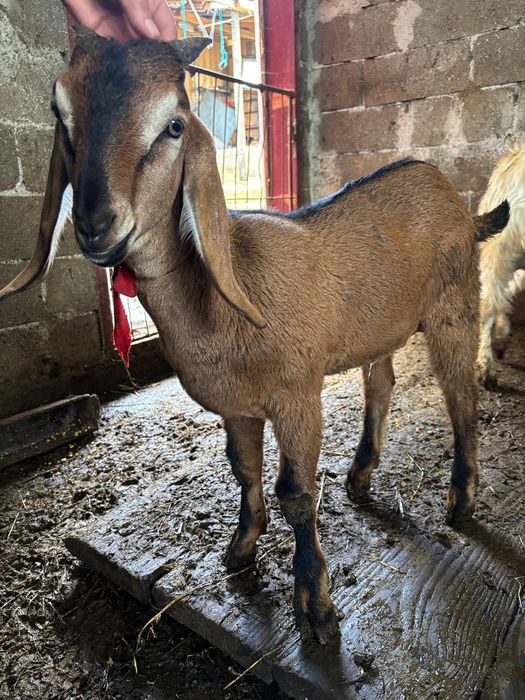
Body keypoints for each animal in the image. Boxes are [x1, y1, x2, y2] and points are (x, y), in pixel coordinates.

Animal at [0, 32, 509, 643]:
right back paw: (361, 475)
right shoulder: (237, 406)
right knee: (381, 382)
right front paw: (240, 548)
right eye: (60, 113)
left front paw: (315, 606)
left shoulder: (297, 395)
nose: (96, 225)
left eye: (174, 125)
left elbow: (296, 494)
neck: (226, 292)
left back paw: (460, 499)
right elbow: (242, 469)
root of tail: (459, 203)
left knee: (461, 397)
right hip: (380, 324)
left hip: (454, 304)